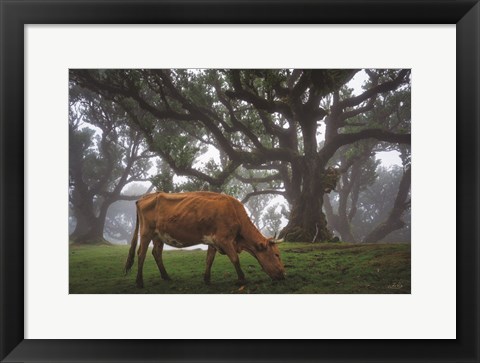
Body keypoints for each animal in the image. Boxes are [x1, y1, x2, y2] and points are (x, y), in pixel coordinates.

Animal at [124, 192, 284, 288]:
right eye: (276, 255)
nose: (283, 274)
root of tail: (145, 197)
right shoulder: (224, 240)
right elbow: (235, 259)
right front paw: (242, 279)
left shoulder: (213, 242)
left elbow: (209, 260)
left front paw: (207, 279)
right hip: (146, 233)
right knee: (141, 254)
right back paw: (139, 282)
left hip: (159, 236)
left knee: (156, 253)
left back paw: (166, 276)